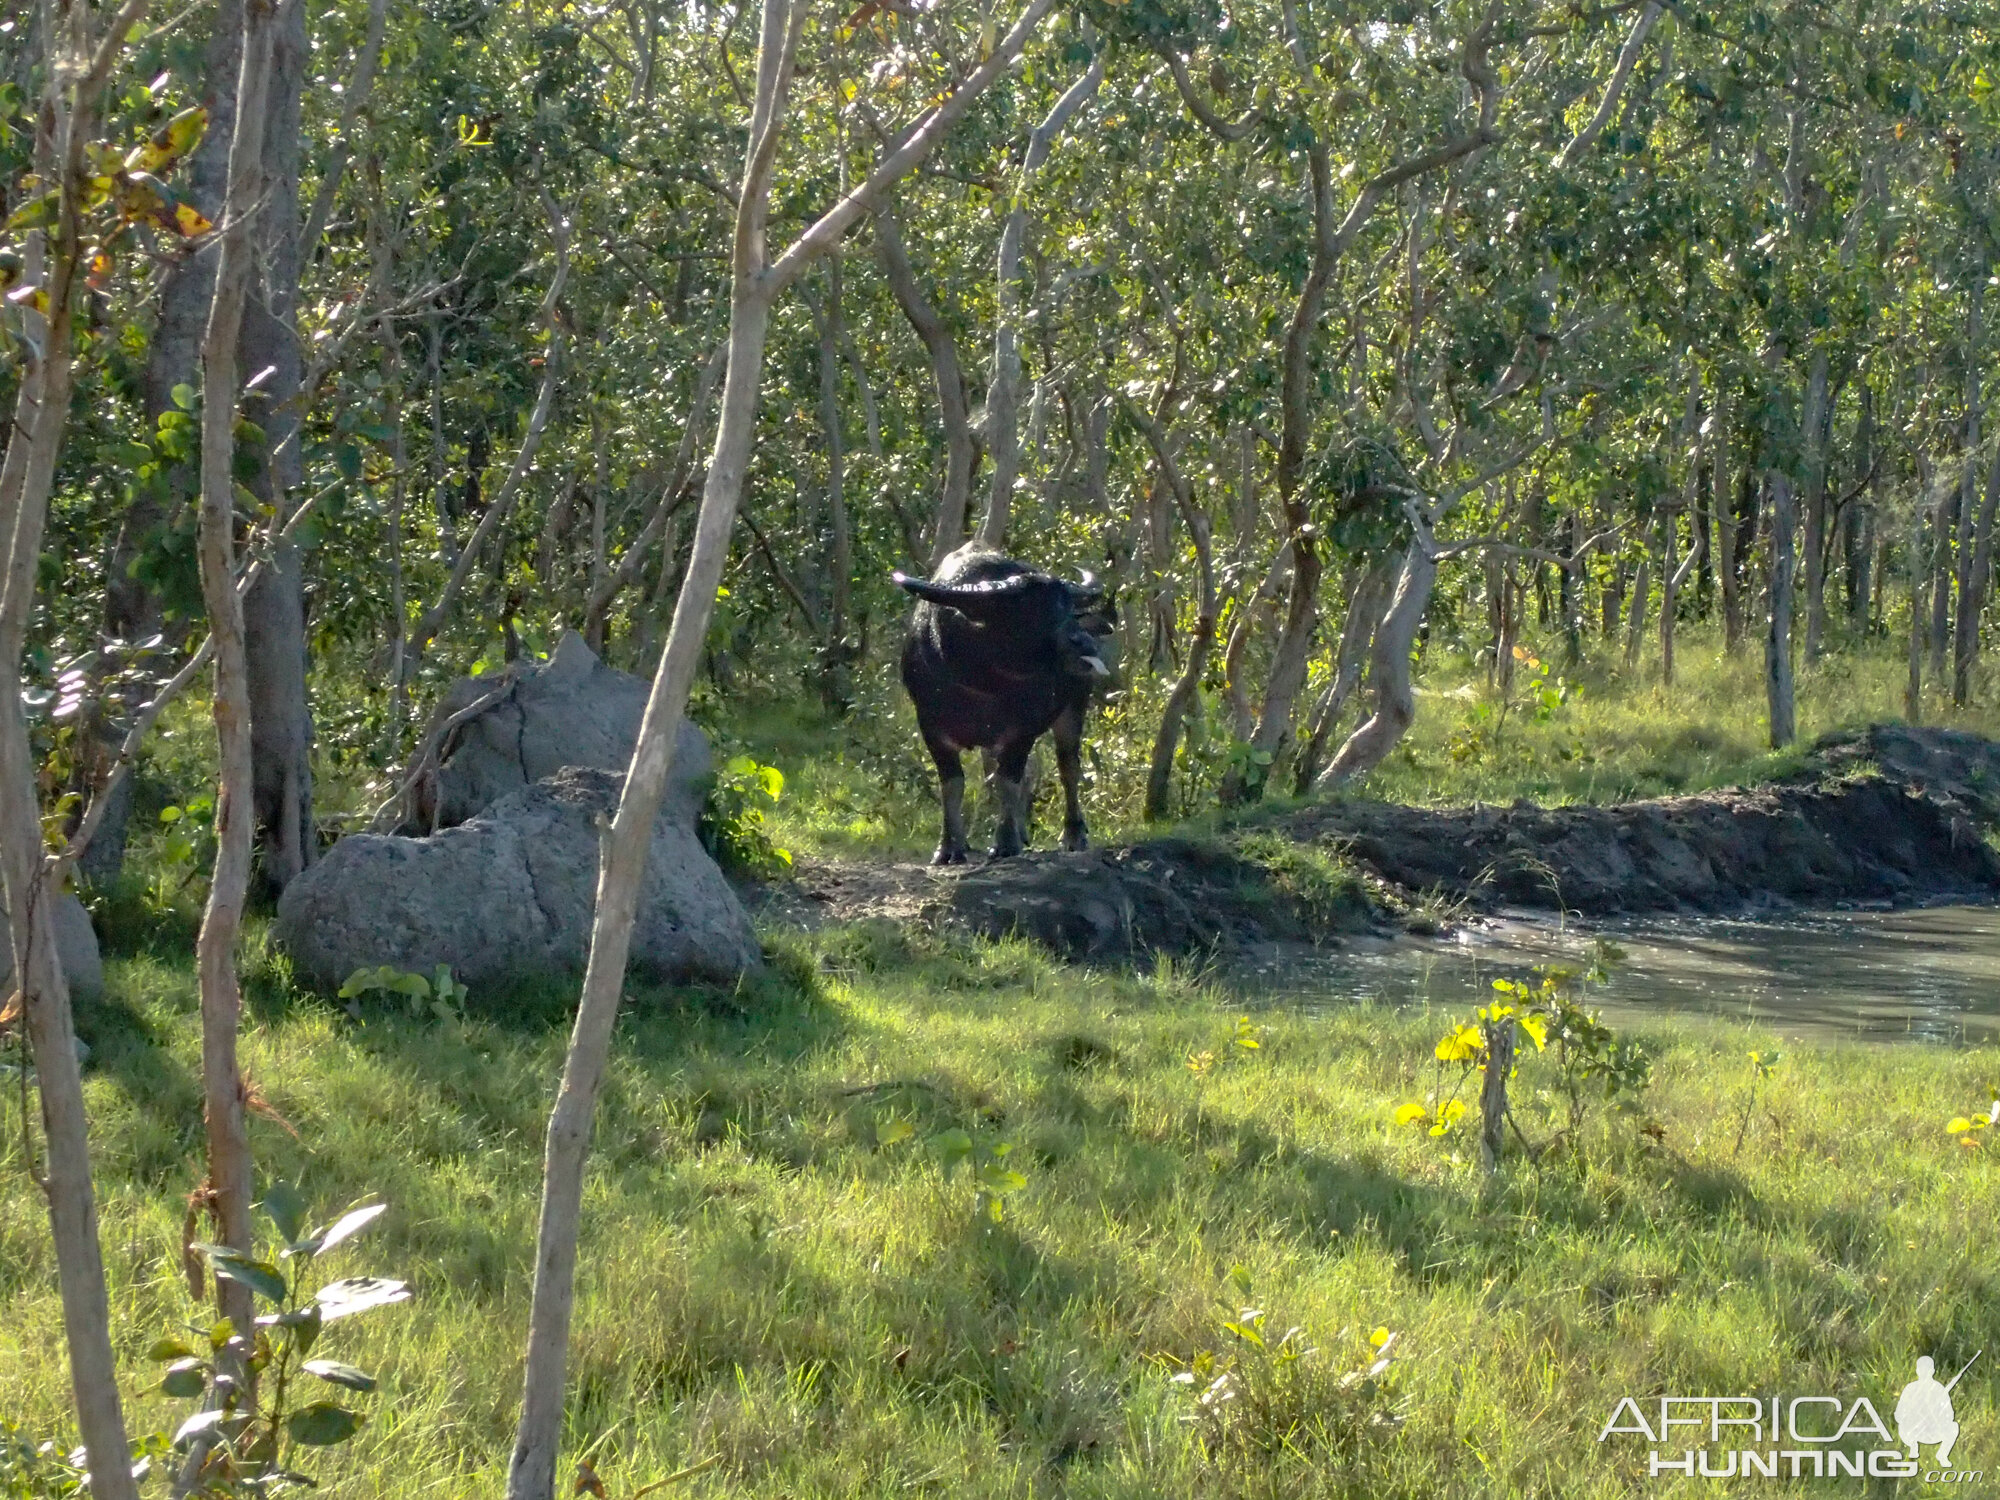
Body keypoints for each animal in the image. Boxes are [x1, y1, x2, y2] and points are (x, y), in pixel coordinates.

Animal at [900, 548, 1120, 864]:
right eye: (1028, 609)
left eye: (1067, 605)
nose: (1086, 643)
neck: (983, 681)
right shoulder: (930, 727)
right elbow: (952, 785)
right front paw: (949, 847)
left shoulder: (1022, 731)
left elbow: (1008, 781)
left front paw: (1005, 843)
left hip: (1073, 709)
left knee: (1068, 767)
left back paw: (1073, 835)